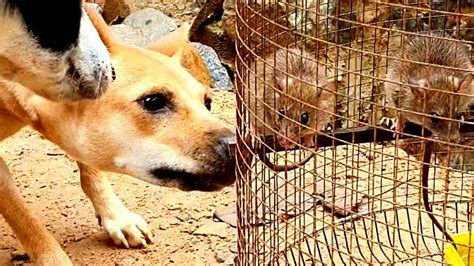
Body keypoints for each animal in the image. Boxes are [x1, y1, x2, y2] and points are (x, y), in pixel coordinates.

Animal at [0, 5, 236, 264]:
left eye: (208, 102)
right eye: (153, 101)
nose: (241, 146)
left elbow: (91, 169)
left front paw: (118, 217)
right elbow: (25, 219)